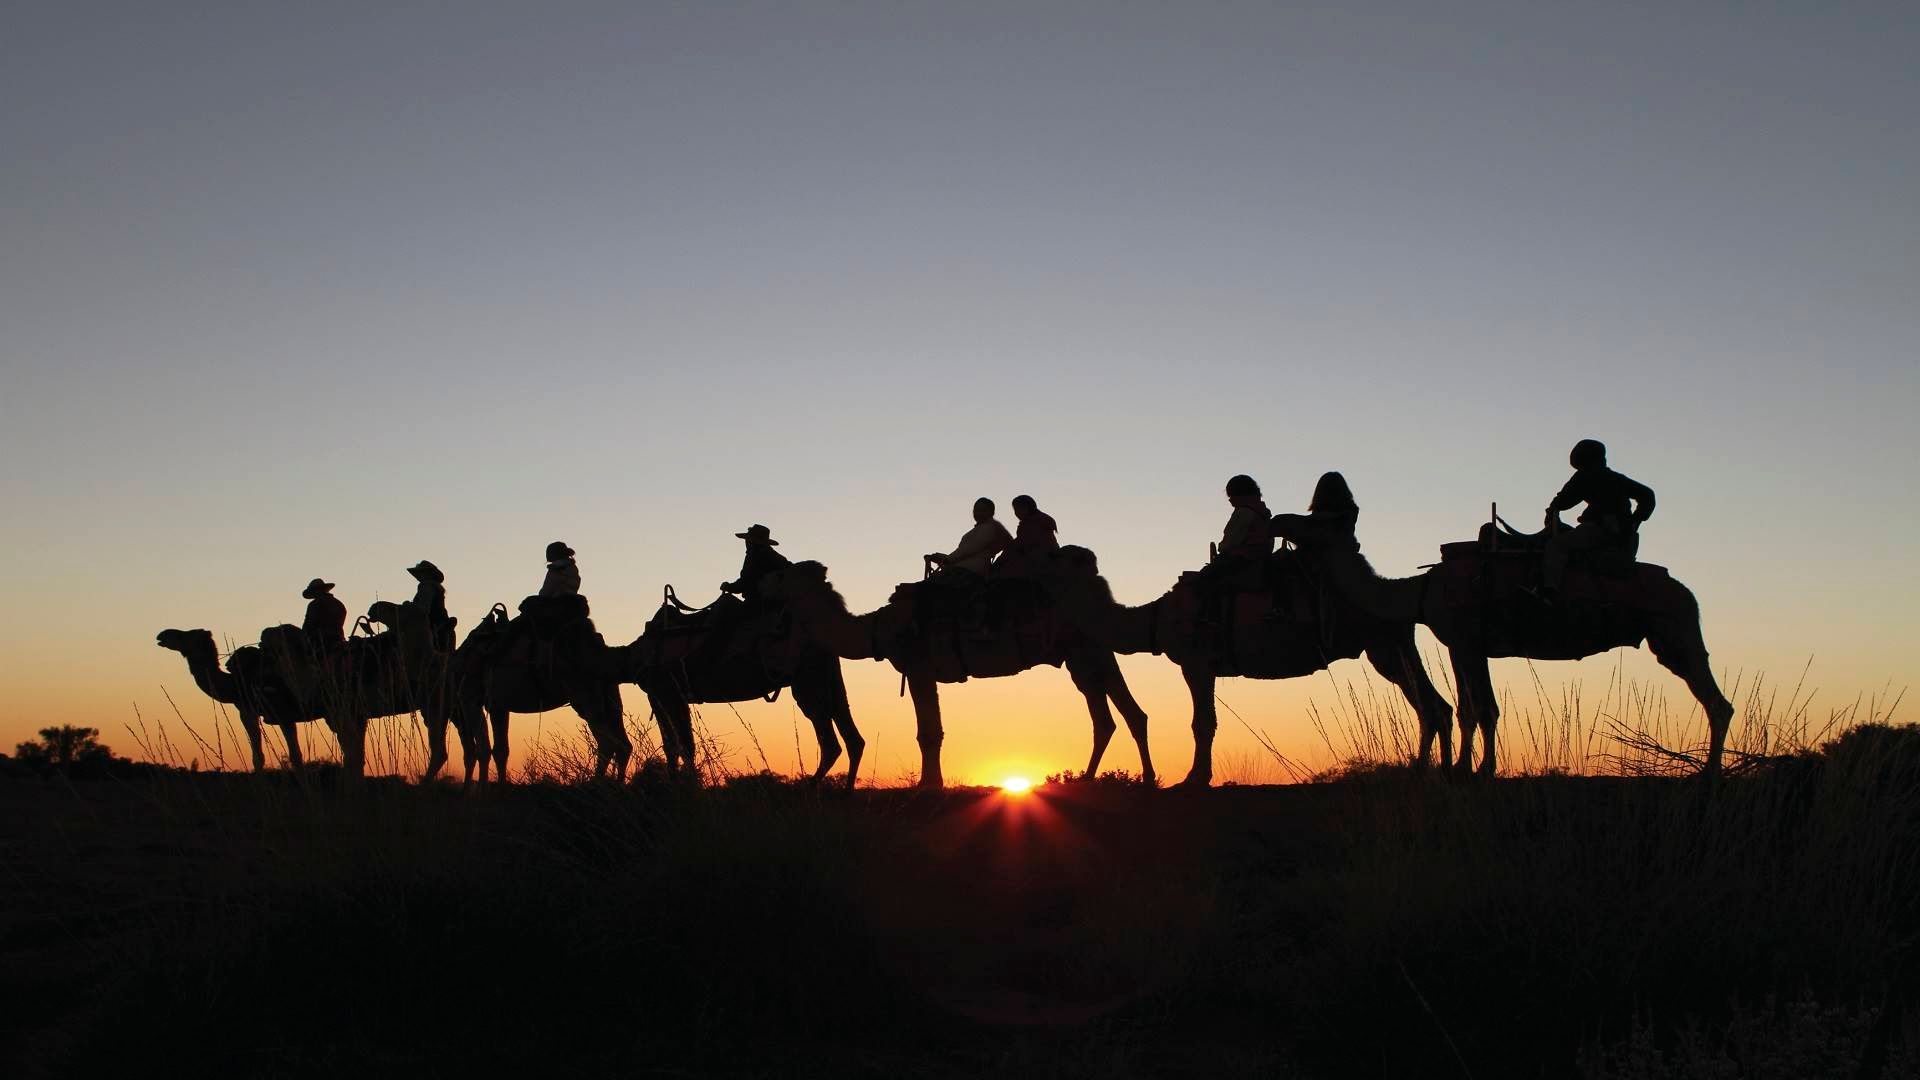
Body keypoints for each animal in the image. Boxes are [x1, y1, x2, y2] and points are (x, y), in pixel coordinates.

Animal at [157, 626, 312, 768]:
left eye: (184, 635)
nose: (162, 634)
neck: (233, 684)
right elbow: (295, 755)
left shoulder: (254, 710)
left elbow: (260, 758)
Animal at [610, 591, 867, 787]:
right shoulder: (673, 696)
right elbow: (680, 746)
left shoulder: (663, 692)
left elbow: (677, 746)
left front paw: (682, 789)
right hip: (829, 676)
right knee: (851, 734)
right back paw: (845, 794)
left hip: (807, 679)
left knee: (829, 739)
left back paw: (808, 790)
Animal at [764, 557, 1152, 787]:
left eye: (783, 573)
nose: (763, 582)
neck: (878, 629)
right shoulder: (922, 671)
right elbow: (931, 731)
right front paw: (930, 784)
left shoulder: (919, 666)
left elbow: (928, 733)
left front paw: (927, 788)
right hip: (1085, 651)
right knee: (1118, 714)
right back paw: (1103, 780)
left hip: (1086, 648)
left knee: (1117, 712)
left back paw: (1132, 780)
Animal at [1036, 545, 1451, 780]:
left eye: (1057, 554)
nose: (1034, 559)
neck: (1155, 618)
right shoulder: (1202, 665)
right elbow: (1206, 722)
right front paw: (1197, 776)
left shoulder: (1196, 661)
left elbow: (1202, 723)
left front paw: (1194, 779)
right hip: (1389, 645)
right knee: (1432, 705)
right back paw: (1431, 771)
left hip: (1384, 640)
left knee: (1430, 704)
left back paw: (1434, 772)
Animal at [1313, 534, 1735, 772]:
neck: (1417, 591)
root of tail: (1687, 593)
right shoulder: (1465, 646)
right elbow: (1475, 708)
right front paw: (1470, 768)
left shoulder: (1466, 640)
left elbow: (1479, 709)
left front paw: (1474, 770)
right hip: (1669, 636)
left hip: (1675, 629)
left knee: (1716, 701)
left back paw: (1710, 772)